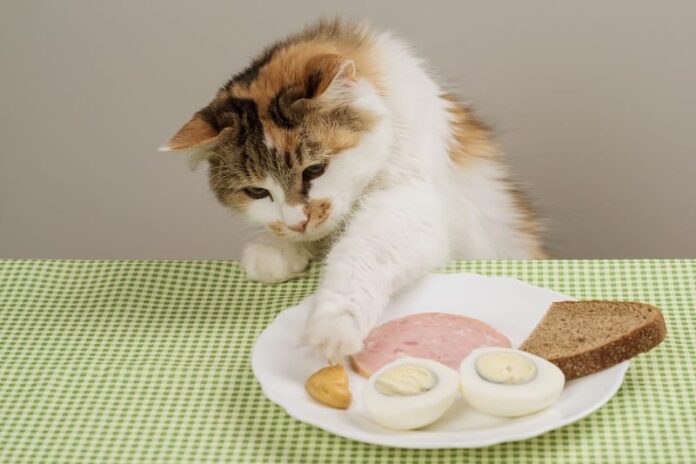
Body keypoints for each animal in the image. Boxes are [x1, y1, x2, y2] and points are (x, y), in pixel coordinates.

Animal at [160, 19, 548, 362]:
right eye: (257, 192)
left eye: (314, 170)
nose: (298, 221)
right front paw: (277, 251)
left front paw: (332, 327)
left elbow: (357, 260)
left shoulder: (406, 202)